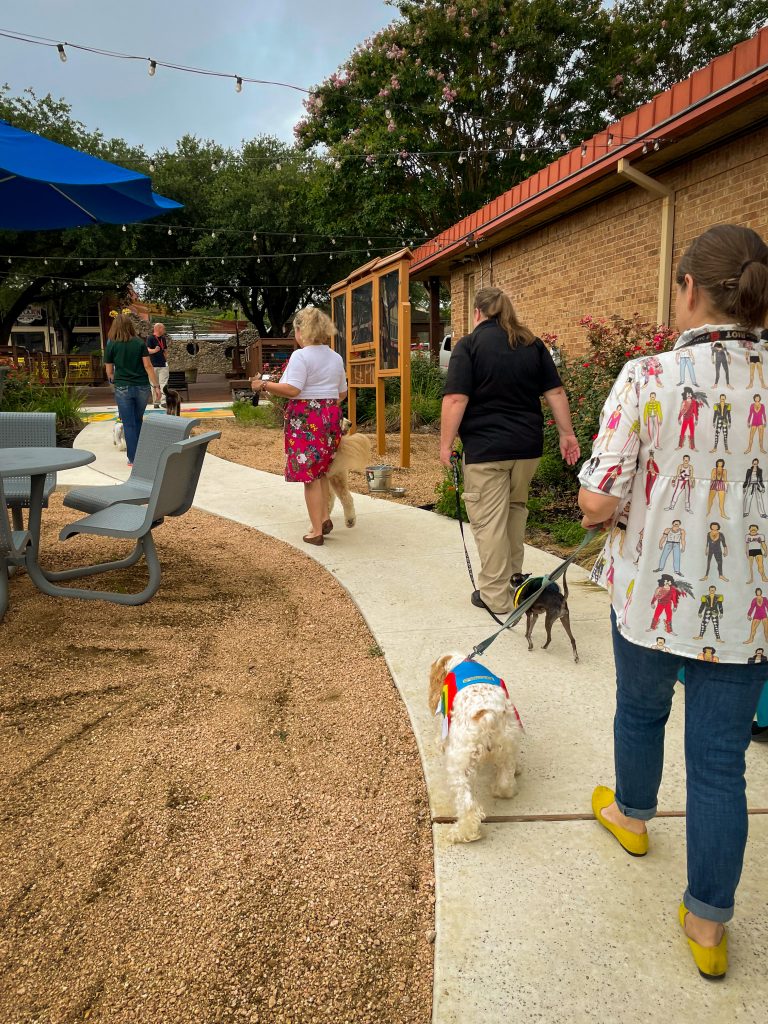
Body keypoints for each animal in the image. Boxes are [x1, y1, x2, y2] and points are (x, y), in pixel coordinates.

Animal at [430, 655, 528, 839]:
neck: (461, 661)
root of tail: (487, 716)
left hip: (460, 765)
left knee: (467, 805)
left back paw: (462, 832)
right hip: (507, 746)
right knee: (506, 782)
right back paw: (501, 787)